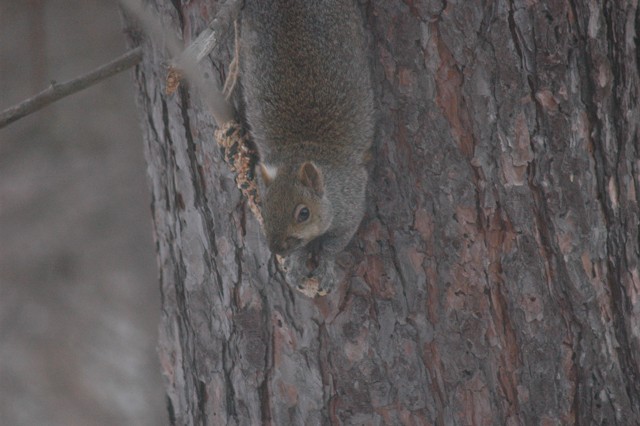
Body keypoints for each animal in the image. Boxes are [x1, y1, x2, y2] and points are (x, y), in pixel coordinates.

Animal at [238, 0, 374, 294]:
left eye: (304, 213)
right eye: (264, 205)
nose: (276, 248)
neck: (300, 152)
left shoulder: (351, 201)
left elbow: (336, 242)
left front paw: (325, 266)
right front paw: (297, 264)